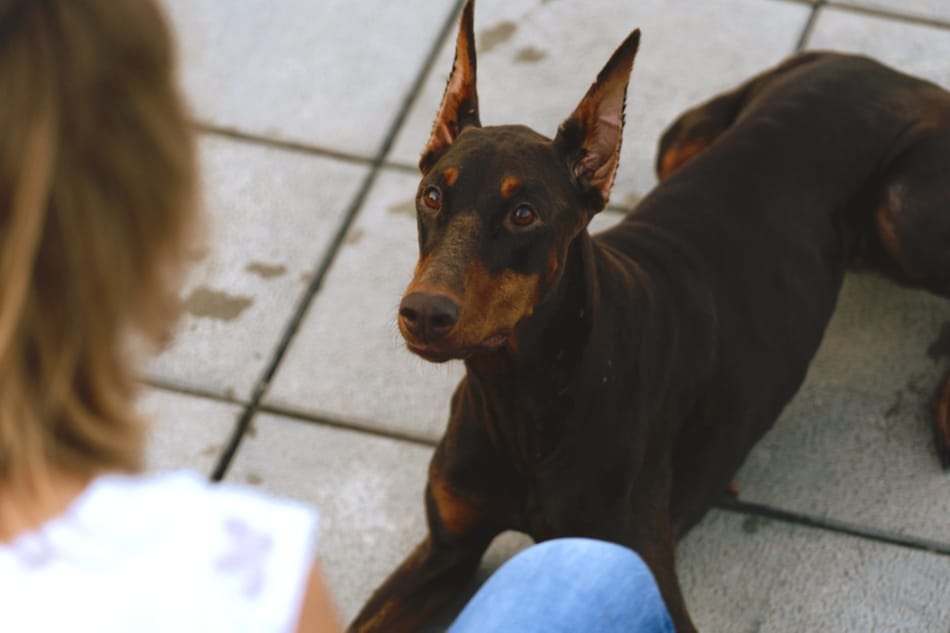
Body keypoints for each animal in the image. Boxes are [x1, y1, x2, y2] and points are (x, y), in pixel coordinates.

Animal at [350, 2, 950, 628]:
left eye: (523, 214)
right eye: (432, 196)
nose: (423, 313)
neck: (526, 394)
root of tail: (885, 70)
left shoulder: (638, 573)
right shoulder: (448, 548)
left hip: (902, 212)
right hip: (681, 139)